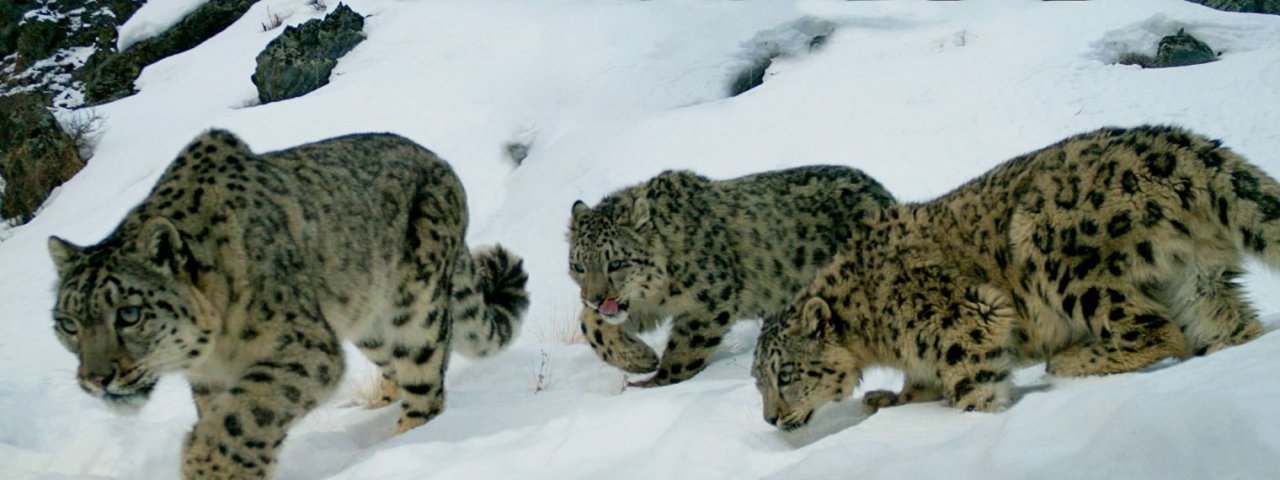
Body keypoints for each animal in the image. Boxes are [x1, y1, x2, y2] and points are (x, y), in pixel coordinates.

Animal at [48, 129, 529, 478]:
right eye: (68, 324)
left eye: (129, 314)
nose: (96, 378)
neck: (214, 353)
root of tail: (441, 164)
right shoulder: (210, 382)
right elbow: (226, 416)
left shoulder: (302, 345)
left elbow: (239, 417)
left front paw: (209, 468)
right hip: (369, 324)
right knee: (394, 369)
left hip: (415, 308)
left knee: (425, 384)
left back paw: (401, 446)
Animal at [568, 165, 890, 386]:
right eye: (579, 266)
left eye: (616, 263)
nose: (596, 298)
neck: (659, 292)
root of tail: (881, 192)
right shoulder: (644, 306)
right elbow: (589, 324)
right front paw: (638, 358)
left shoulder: (708, 300)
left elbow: (684, 349)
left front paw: (655, 381)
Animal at [752, 126, 1274, 430]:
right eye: (758, 382)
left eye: (785, 374)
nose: (771, 419)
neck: (875, 330)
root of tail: (1178, 143)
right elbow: (918, 386)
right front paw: (889, 399)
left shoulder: (964, 322)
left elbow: (972, 385)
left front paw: (974, 418)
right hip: (1197, 273)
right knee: (1223, 320)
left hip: (1062, 260)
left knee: (1156, 329)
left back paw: (1071, 361)